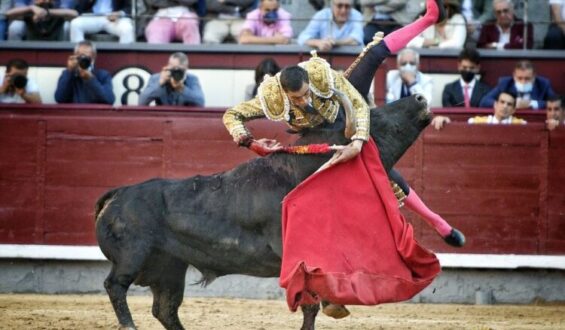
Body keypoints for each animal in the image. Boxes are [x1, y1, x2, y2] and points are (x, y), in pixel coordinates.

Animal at [96, 94, 432, 328]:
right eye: (379, 119)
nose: (419, 98)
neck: (304, 172)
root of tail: (120, 193)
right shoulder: (297, 259)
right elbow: (309, 303)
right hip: (134, 255)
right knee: (116, 286)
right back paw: (128, 325)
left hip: (169, 267)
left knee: (165, 308)